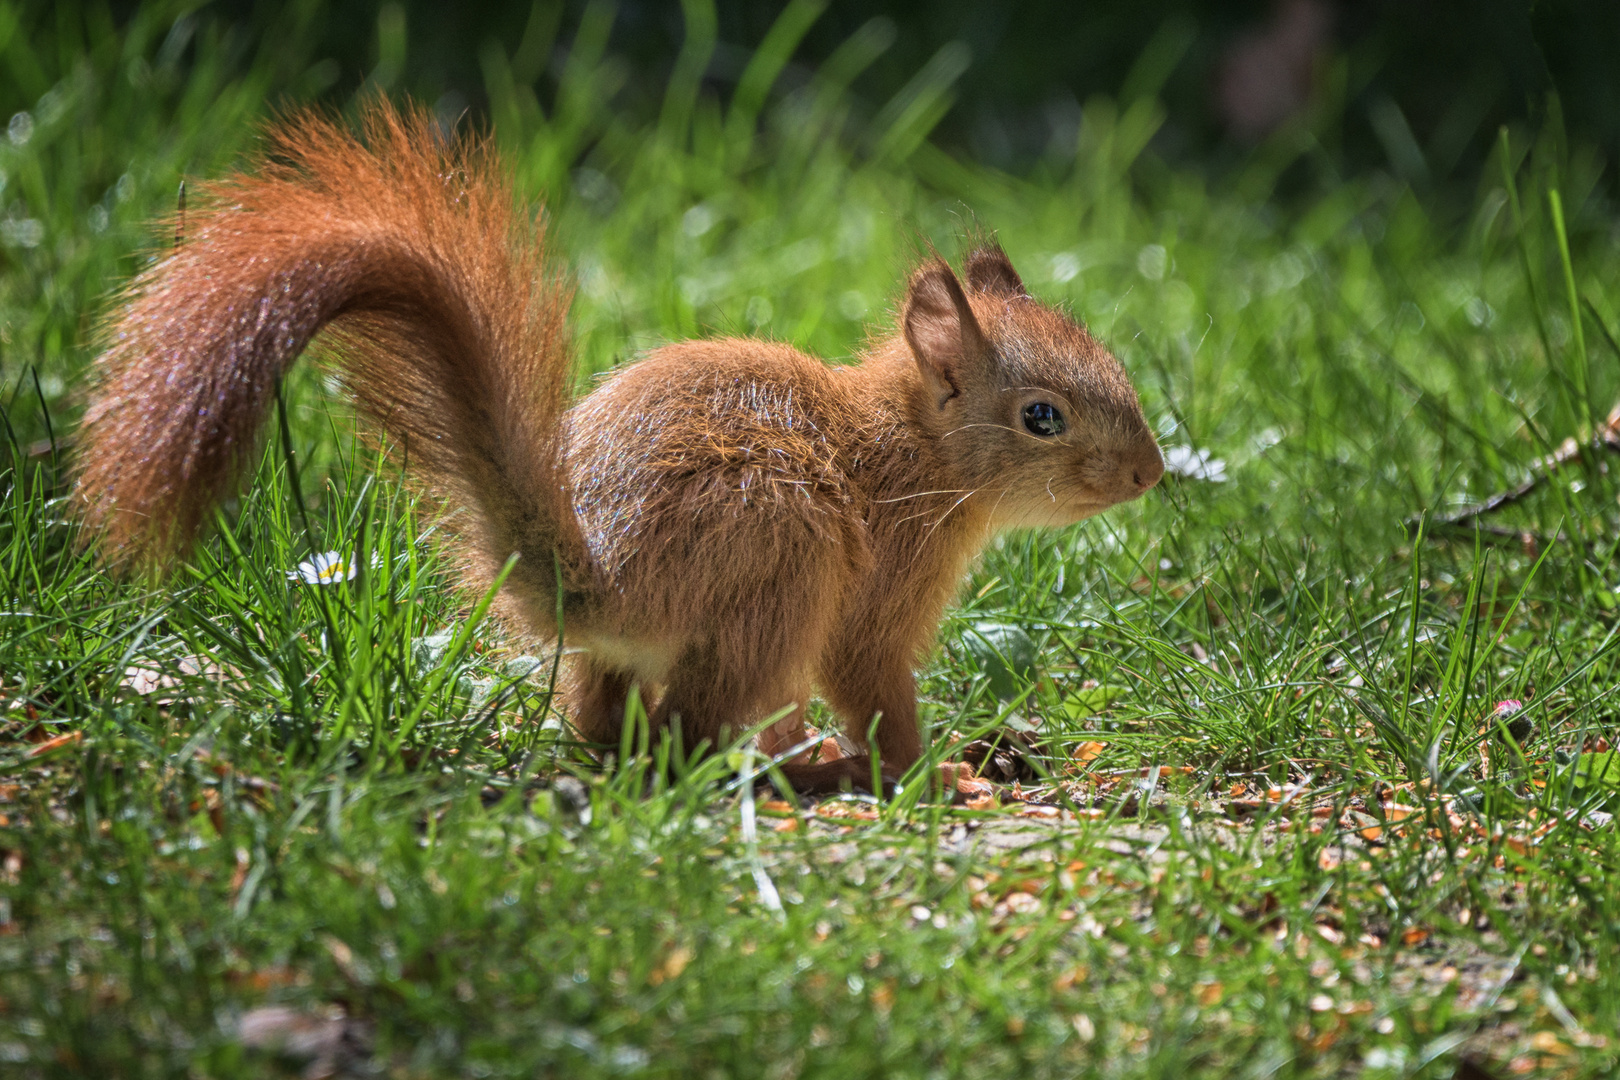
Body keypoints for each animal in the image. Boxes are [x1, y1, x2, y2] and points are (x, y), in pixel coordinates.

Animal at [76, 103, 1166, 793]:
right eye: (1042, 416)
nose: (1150, 473)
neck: (917, 454)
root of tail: (602, 584)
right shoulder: (878, 588)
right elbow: (873, 686)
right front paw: (932, 773)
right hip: (786, 553)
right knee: (689, 737)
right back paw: (816, 769)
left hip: (660, 639)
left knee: (613, 731)